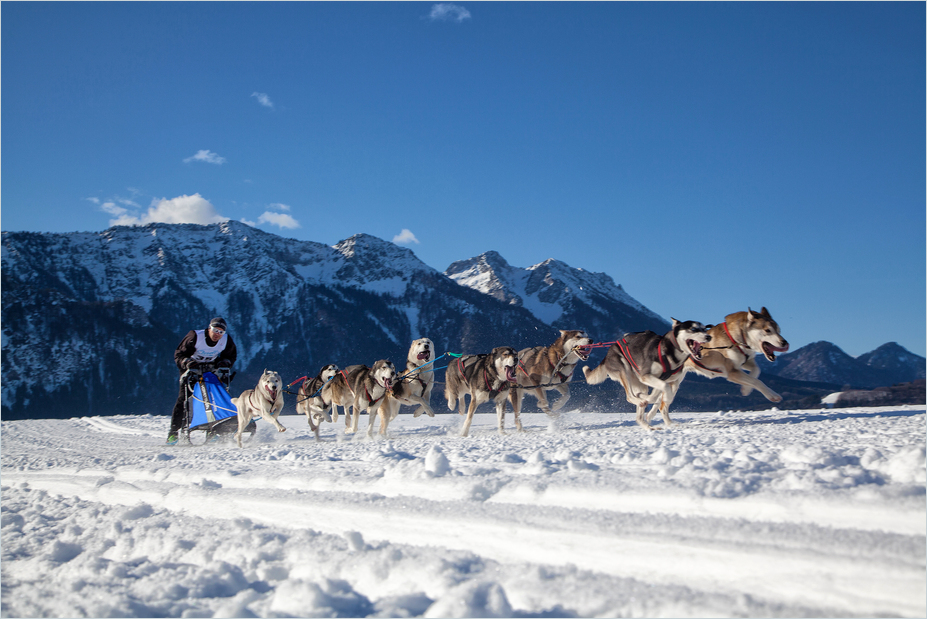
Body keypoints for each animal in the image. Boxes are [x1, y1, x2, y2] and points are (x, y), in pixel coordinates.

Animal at [584, 320, 716, 432]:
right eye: (693, 329)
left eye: (704, 329)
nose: (708, 337)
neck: (671, 354)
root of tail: (610, 349)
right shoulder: (647, 376)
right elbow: (663, 391)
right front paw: (658, 399)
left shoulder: (668, 381)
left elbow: (658, 394)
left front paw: (653, 400)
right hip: (624, 370)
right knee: (629, 396)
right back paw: (640, 401)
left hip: (640, 383)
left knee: (639, 414)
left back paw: (648, 424)